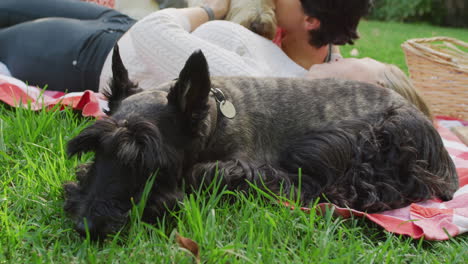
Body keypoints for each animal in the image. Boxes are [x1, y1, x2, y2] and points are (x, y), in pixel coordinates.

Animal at [64, 46, 458, 238]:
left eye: (146, 160)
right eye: (96, 150)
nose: (86, 226)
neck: (214, 118)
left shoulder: (244, 164)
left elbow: (204, 174)